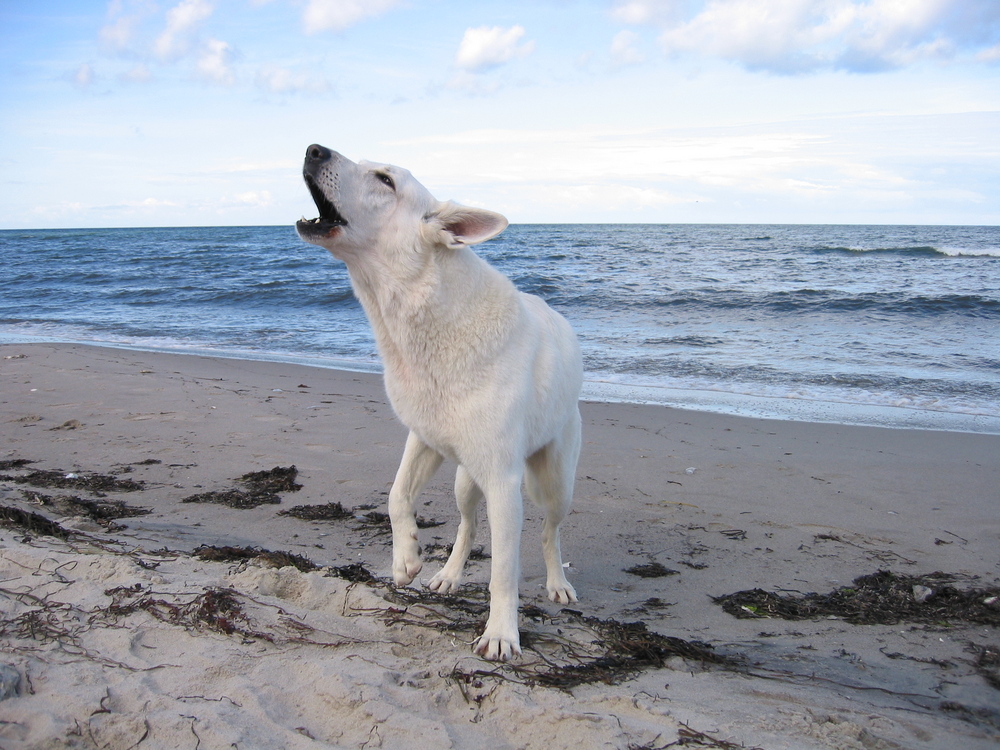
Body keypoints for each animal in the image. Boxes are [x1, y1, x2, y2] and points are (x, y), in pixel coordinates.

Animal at [292, 144, 584, 660]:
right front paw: (406, 558)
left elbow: (503, 571)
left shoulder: (504, 483)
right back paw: (447, 575)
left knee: (549, 532)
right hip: (466, 482)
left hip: (555, 483)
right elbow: (396, 495)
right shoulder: (424, 439)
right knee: (467, 527)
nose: (312, 149)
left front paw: (501, 634)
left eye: (385, 180)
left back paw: (556, 584)